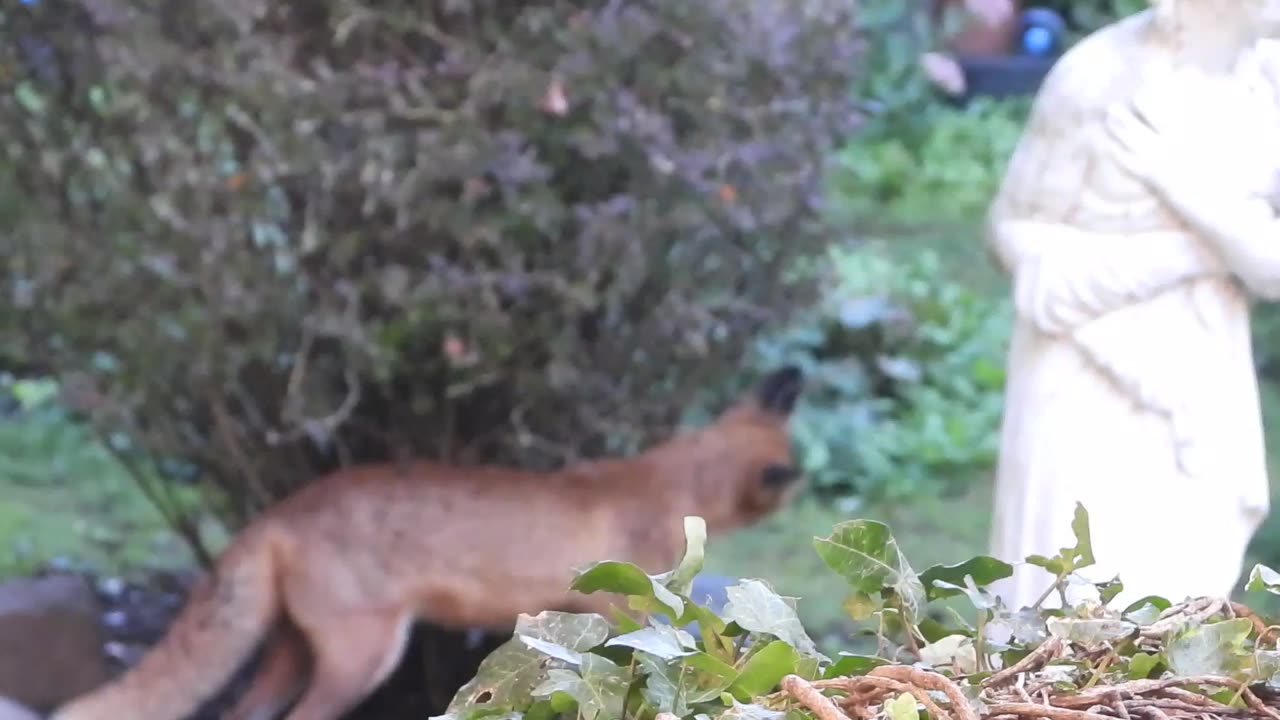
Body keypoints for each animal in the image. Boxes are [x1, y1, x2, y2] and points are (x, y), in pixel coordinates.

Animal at [50, 365, 807, 720]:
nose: (802, 484)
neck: (663, 487)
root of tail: (282, 511)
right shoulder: (630, 612)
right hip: (364, 658)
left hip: (293, 653)